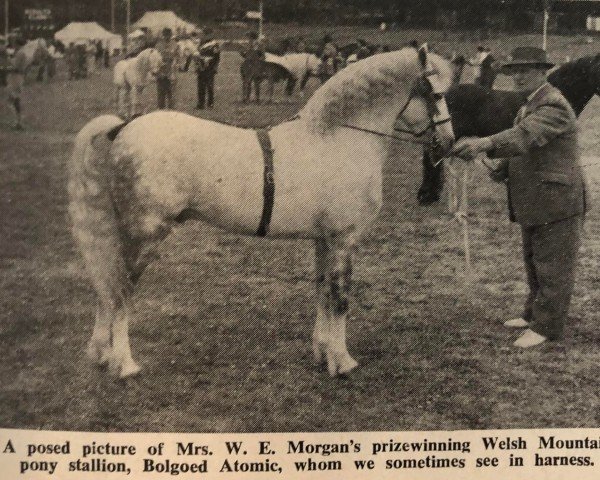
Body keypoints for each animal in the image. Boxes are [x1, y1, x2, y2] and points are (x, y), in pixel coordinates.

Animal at [69, 47, 454, 380]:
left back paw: (101, 353)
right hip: (145, 236)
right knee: (121, 290)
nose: (448, 142)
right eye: (435, 94)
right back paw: (124, 363)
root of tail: (123, 128)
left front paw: (322, 352)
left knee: (108, 287)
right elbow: (340, 297)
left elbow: (322, 292)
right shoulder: (344, 238)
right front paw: (342, 361)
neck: (337, 138)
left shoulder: (323, 239)